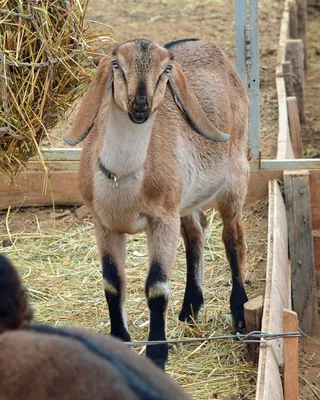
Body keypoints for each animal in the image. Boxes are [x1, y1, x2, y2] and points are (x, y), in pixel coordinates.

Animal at [63, 37, 249, 368]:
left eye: (165, 70)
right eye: (117, 65)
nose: (140, 105)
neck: (123, 180)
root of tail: (203, 43)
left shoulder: (162, 220)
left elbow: (157, 288)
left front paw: (157, 353)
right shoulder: (104, 223)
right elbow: (113, 284)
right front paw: (121, 341)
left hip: (235, 174)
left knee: (233, 238)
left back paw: (239, 317)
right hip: (184, 200)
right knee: (195, 234)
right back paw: (190, 308)